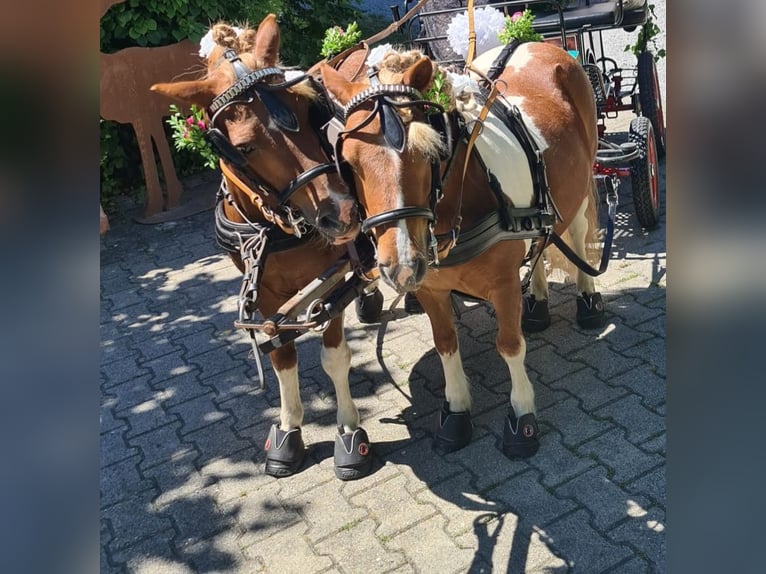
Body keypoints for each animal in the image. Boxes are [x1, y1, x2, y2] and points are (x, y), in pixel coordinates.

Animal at [151, 14, 376, 482]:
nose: (342, 212)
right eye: (243, 147)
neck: (277, 227)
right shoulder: (268, 293)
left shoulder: (329, 284)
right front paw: (289, 432)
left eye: (310, 112)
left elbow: (333, 356)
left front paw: (349, 431)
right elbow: (282, 356)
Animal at [320, 41, 604, 460]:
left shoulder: (502, 285)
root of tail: (534, 43)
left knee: (578, 235)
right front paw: (455, 412)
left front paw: (522, 416)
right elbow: (445, 345)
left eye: (428, 154)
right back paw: (536, 303)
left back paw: (587, 301)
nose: (401, 266)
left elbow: (509, 345)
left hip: (580, 188)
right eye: (349, 162)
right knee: (540, 240)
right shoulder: (430, 288)